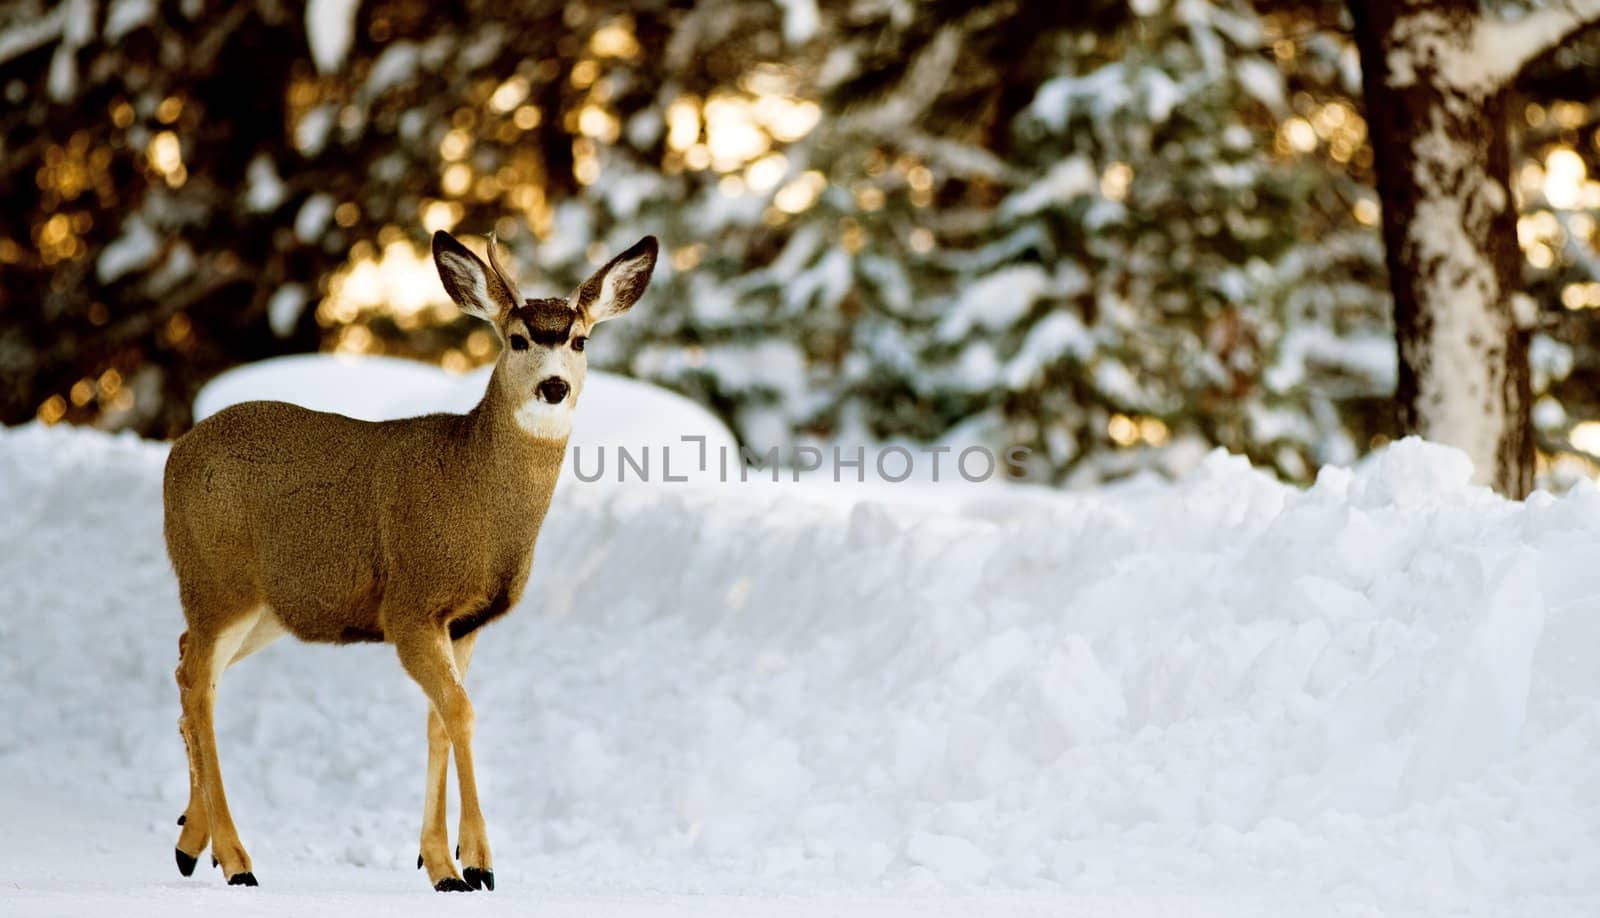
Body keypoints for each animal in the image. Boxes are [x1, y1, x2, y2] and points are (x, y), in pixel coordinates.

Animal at [162, 228, 656, 895]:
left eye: (580, 340)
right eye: (517, 338)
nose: (554, 386)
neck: (478, 498)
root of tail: (175, 454)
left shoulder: (464, 623)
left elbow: (438, 721)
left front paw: (439, 862)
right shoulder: (410, 606)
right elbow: (462, 713)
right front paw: (477, 862)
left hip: (267, 607)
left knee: (187, 662)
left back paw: (193, 841)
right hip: (219, 579)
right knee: (199, 683)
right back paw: (236, 858)